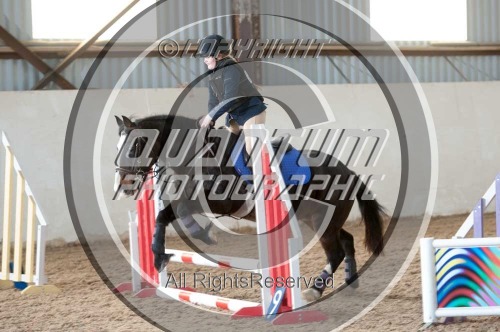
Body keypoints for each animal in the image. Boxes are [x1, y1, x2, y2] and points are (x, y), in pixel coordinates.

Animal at [114, 115, 386, 302]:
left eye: (134, 146)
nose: (124, 185)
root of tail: (347, 171)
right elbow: (163, 216)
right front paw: (158, 256)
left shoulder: (217, 201)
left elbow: (178, 212)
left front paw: (204, 237)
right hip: (319, 219)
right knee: (347, 240)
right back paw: (351, 281)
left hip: (323, 222)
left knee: (335, 252)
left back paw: (314, 291)